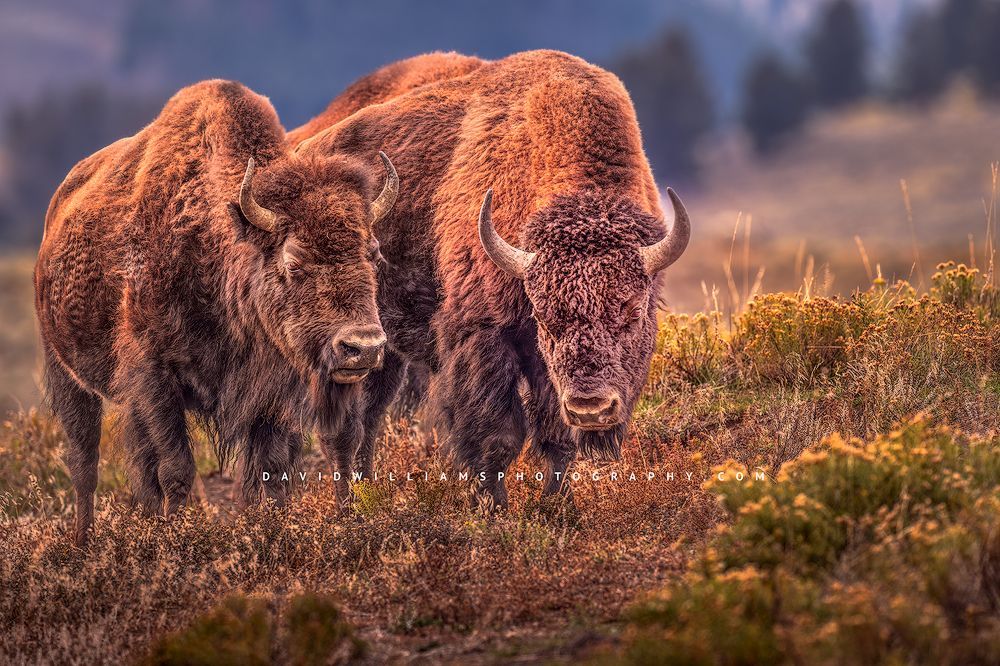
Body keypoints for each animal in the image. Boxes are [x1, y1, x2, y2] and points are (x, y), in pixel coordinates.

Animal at [35, 80, 397, 545]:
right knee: (85, 462)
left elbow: (267, 473)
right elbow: (176, 471)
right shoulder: (155, 380)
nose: (363, 347)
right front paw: (174, 539)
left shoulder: (272, 395)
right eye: (293, 259)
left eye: (374, 253)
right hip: (66, 373)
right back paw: (83, 542)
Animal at [294, 50, 690, 508]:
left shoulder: (545, 371)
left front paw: (555, 507)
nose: (590, 407)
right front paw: (495, 509)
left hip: (380, 350)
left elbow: (556, 438)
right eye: (544, 317)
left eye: (634, 312)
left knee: (367, 421)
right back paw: (349, 507)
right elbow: (497, 436)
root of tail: (302, 149)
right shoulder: (483, 337)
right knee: (342, 430)